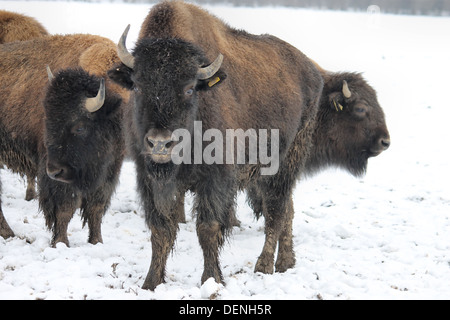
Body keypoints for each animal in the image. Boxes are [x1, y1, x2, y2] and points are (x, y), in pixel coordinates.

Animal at [0, 34, 126, 245]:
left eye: (79, 126)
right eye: (47, 120)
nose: (54, 170)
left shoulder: (110, 169)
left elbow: (96, 208)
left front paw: (96, 241)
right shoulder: (59, 179)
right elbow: (65, 209)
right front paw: (60, 242)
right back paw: (8, 233)